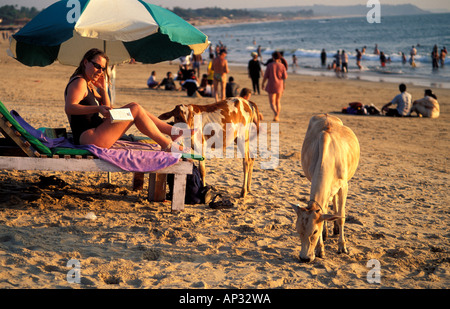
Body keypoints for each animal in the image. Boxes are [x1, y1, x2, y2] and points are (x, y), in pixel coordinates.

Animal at [294, 114, 360, 262]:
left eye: (314, 231)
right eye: (298, 230)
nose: (304, 258)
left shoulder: (344, 186)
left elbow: (341, 216)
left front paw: (342, 246)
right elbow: (323, 213)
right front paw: (320, 249)